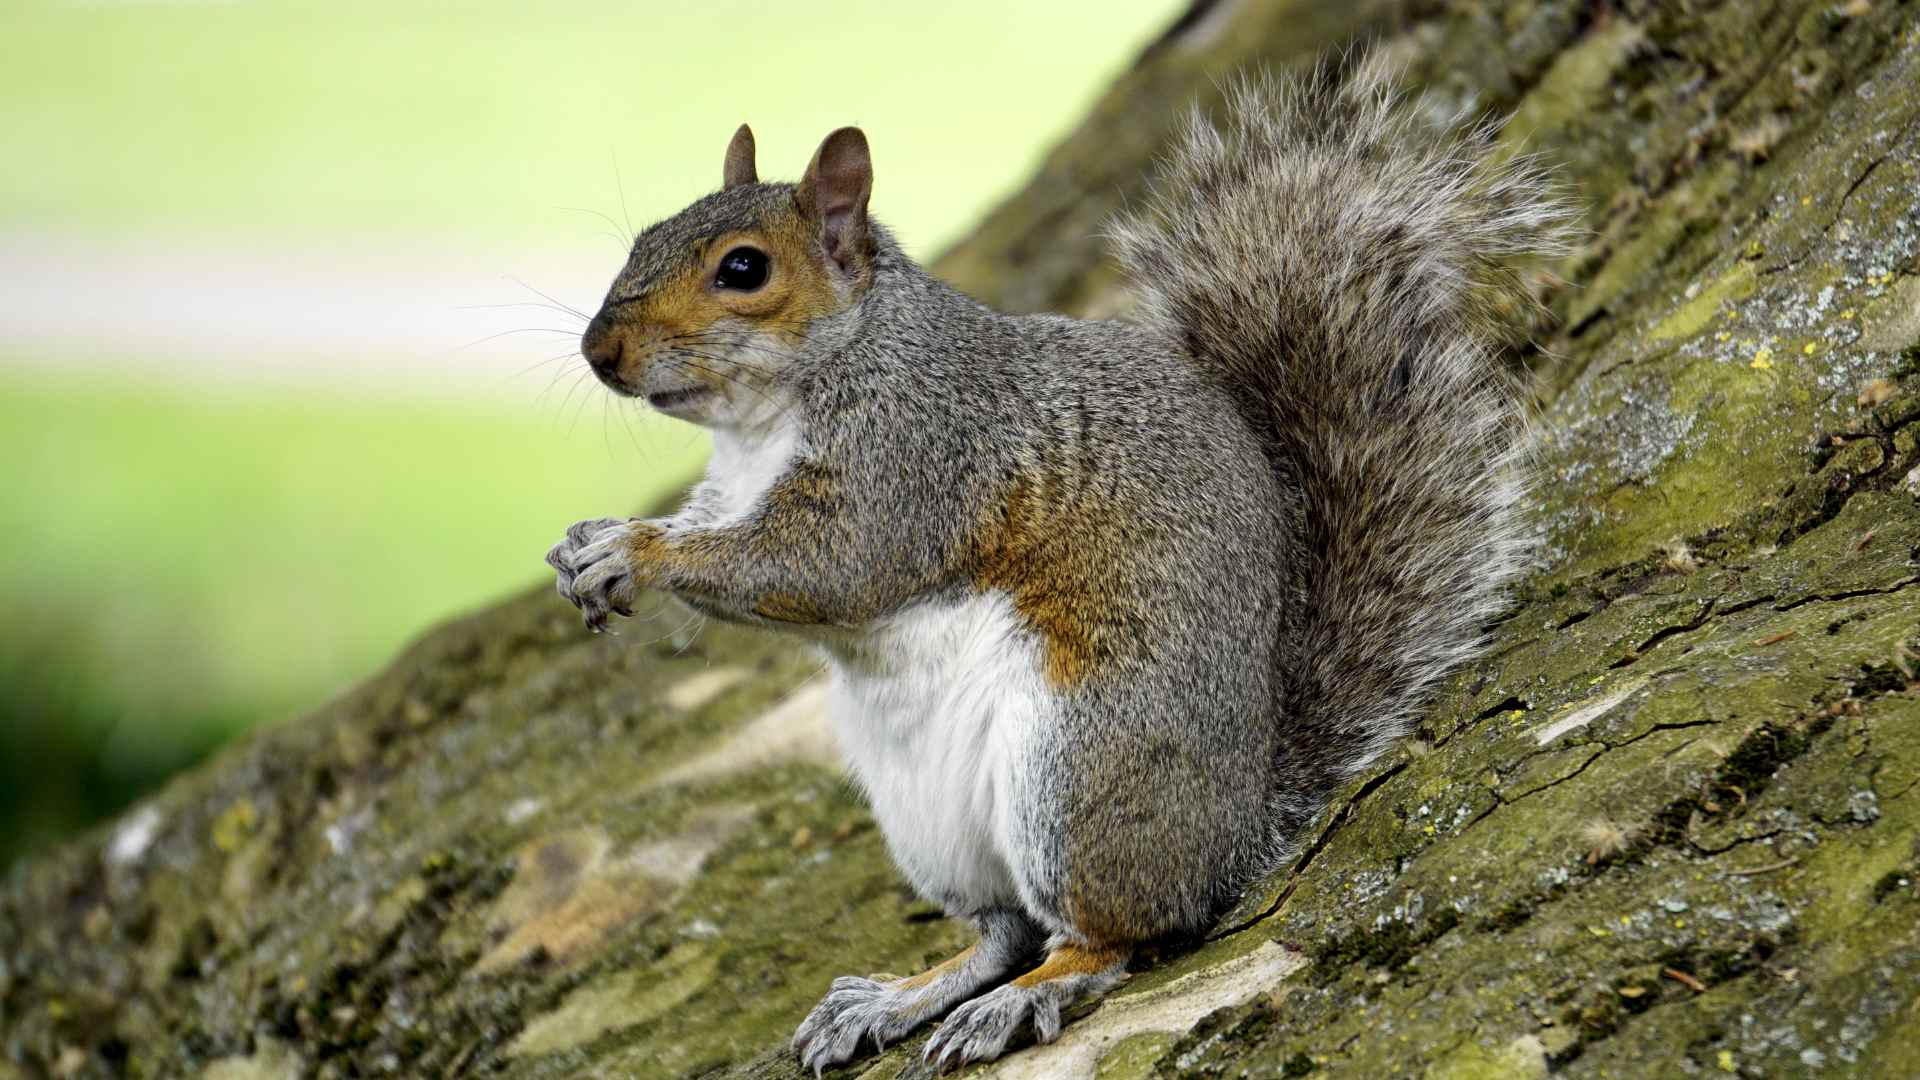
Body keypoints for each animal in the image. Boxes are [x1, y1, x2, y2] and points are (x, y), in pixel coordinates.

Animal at [547, 64, 1573, 1072]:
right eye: (644, 237)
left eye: (744, 269)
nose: (599, 351)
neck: (774, 413)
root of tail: (1240, 829)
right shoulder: (735, 487)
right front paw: (588, 544)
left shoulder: (914, 457)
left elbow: (824, 567)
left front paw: (637, 553)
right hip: (930, 822)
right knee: (1004, 931)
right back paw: (900, 996)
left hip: (1078, 769)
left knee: (1111, 935)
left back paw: (1024, 999)